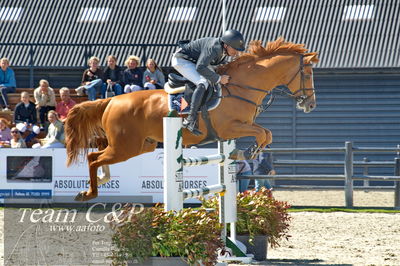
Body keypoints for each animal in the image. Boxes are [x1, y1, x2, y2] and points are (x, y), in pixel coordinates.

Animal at [65, 37, 318, 200]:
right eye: (307, 74)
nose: (311, 104)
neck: (241, 87)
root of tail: (111, 101)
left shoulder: (242, 126)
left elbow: (267, 133)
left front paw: (247, 152)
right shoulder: (230, 129)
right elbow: (262, 133)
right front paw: (248, 152)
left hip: (140, 146)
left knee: (98, 156)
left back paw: (100, 182)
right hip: (125, 146)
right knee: (94, 158)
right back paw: (89, 192)